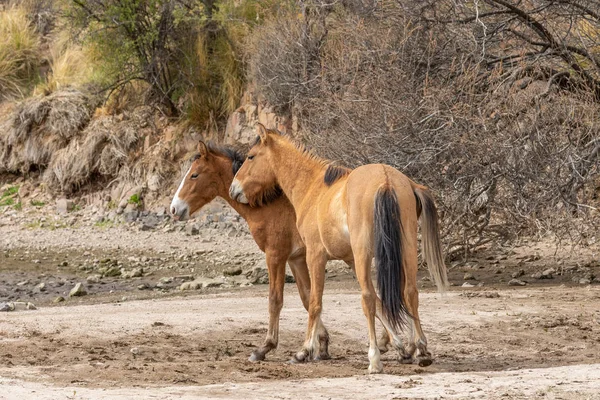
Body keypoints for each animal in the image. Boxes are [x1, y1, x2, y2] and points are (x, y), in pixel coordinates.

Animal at [169, 141, 330, 362]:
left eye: (194, 175)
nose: (174, 209)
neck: (269, 206)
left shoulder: (275, 255)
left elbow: (275, 299)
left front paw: (265, 348)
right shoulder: (295, 258)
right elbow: (308, 298)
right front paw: (321, 346)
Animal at [232, 126, 448, 374]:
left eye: (251, 156)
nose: (233, 188)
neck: (313, 187)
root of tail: (386, 180)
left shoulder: (315, 256)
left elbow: (315, 302)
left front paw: (303, 351)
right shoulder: (350, 259)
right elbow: (381, 302)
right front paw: (400, 347)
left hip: (365, 253)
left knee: (367, 298)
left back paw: (374, 359)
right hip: (407, 250)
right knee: (410, 293)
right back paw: (421, 350)